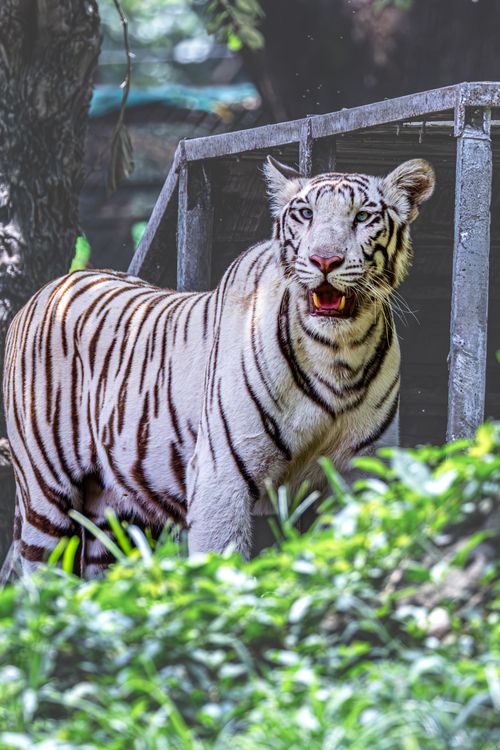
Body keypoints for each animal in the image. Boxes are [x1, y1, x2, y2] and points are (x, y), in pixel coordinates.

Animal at [3, 156, 434, 577]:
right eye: (306, 214)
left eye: (362, 217)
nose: (324, 259)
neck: (337, 353)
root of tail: (48, 289)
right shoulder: (221, 473)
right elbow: (223, 568)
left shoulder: (364, 470)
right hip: (46, 494)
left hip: (113, 515)